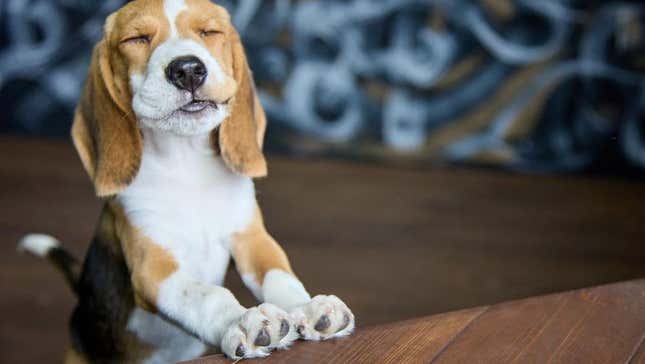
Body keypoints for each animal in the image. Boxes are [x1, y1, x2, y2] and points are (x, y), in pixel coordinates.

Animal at [18, 1, 352, 362]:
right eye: (137, 39)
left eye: (209, 32)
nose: (188, 69)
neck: (187, 167)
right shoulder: (154, 268)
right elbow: (208, 295)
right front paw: (243, 321)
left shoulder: (252, 239)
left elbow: (279, 275)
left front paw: (308, 307)